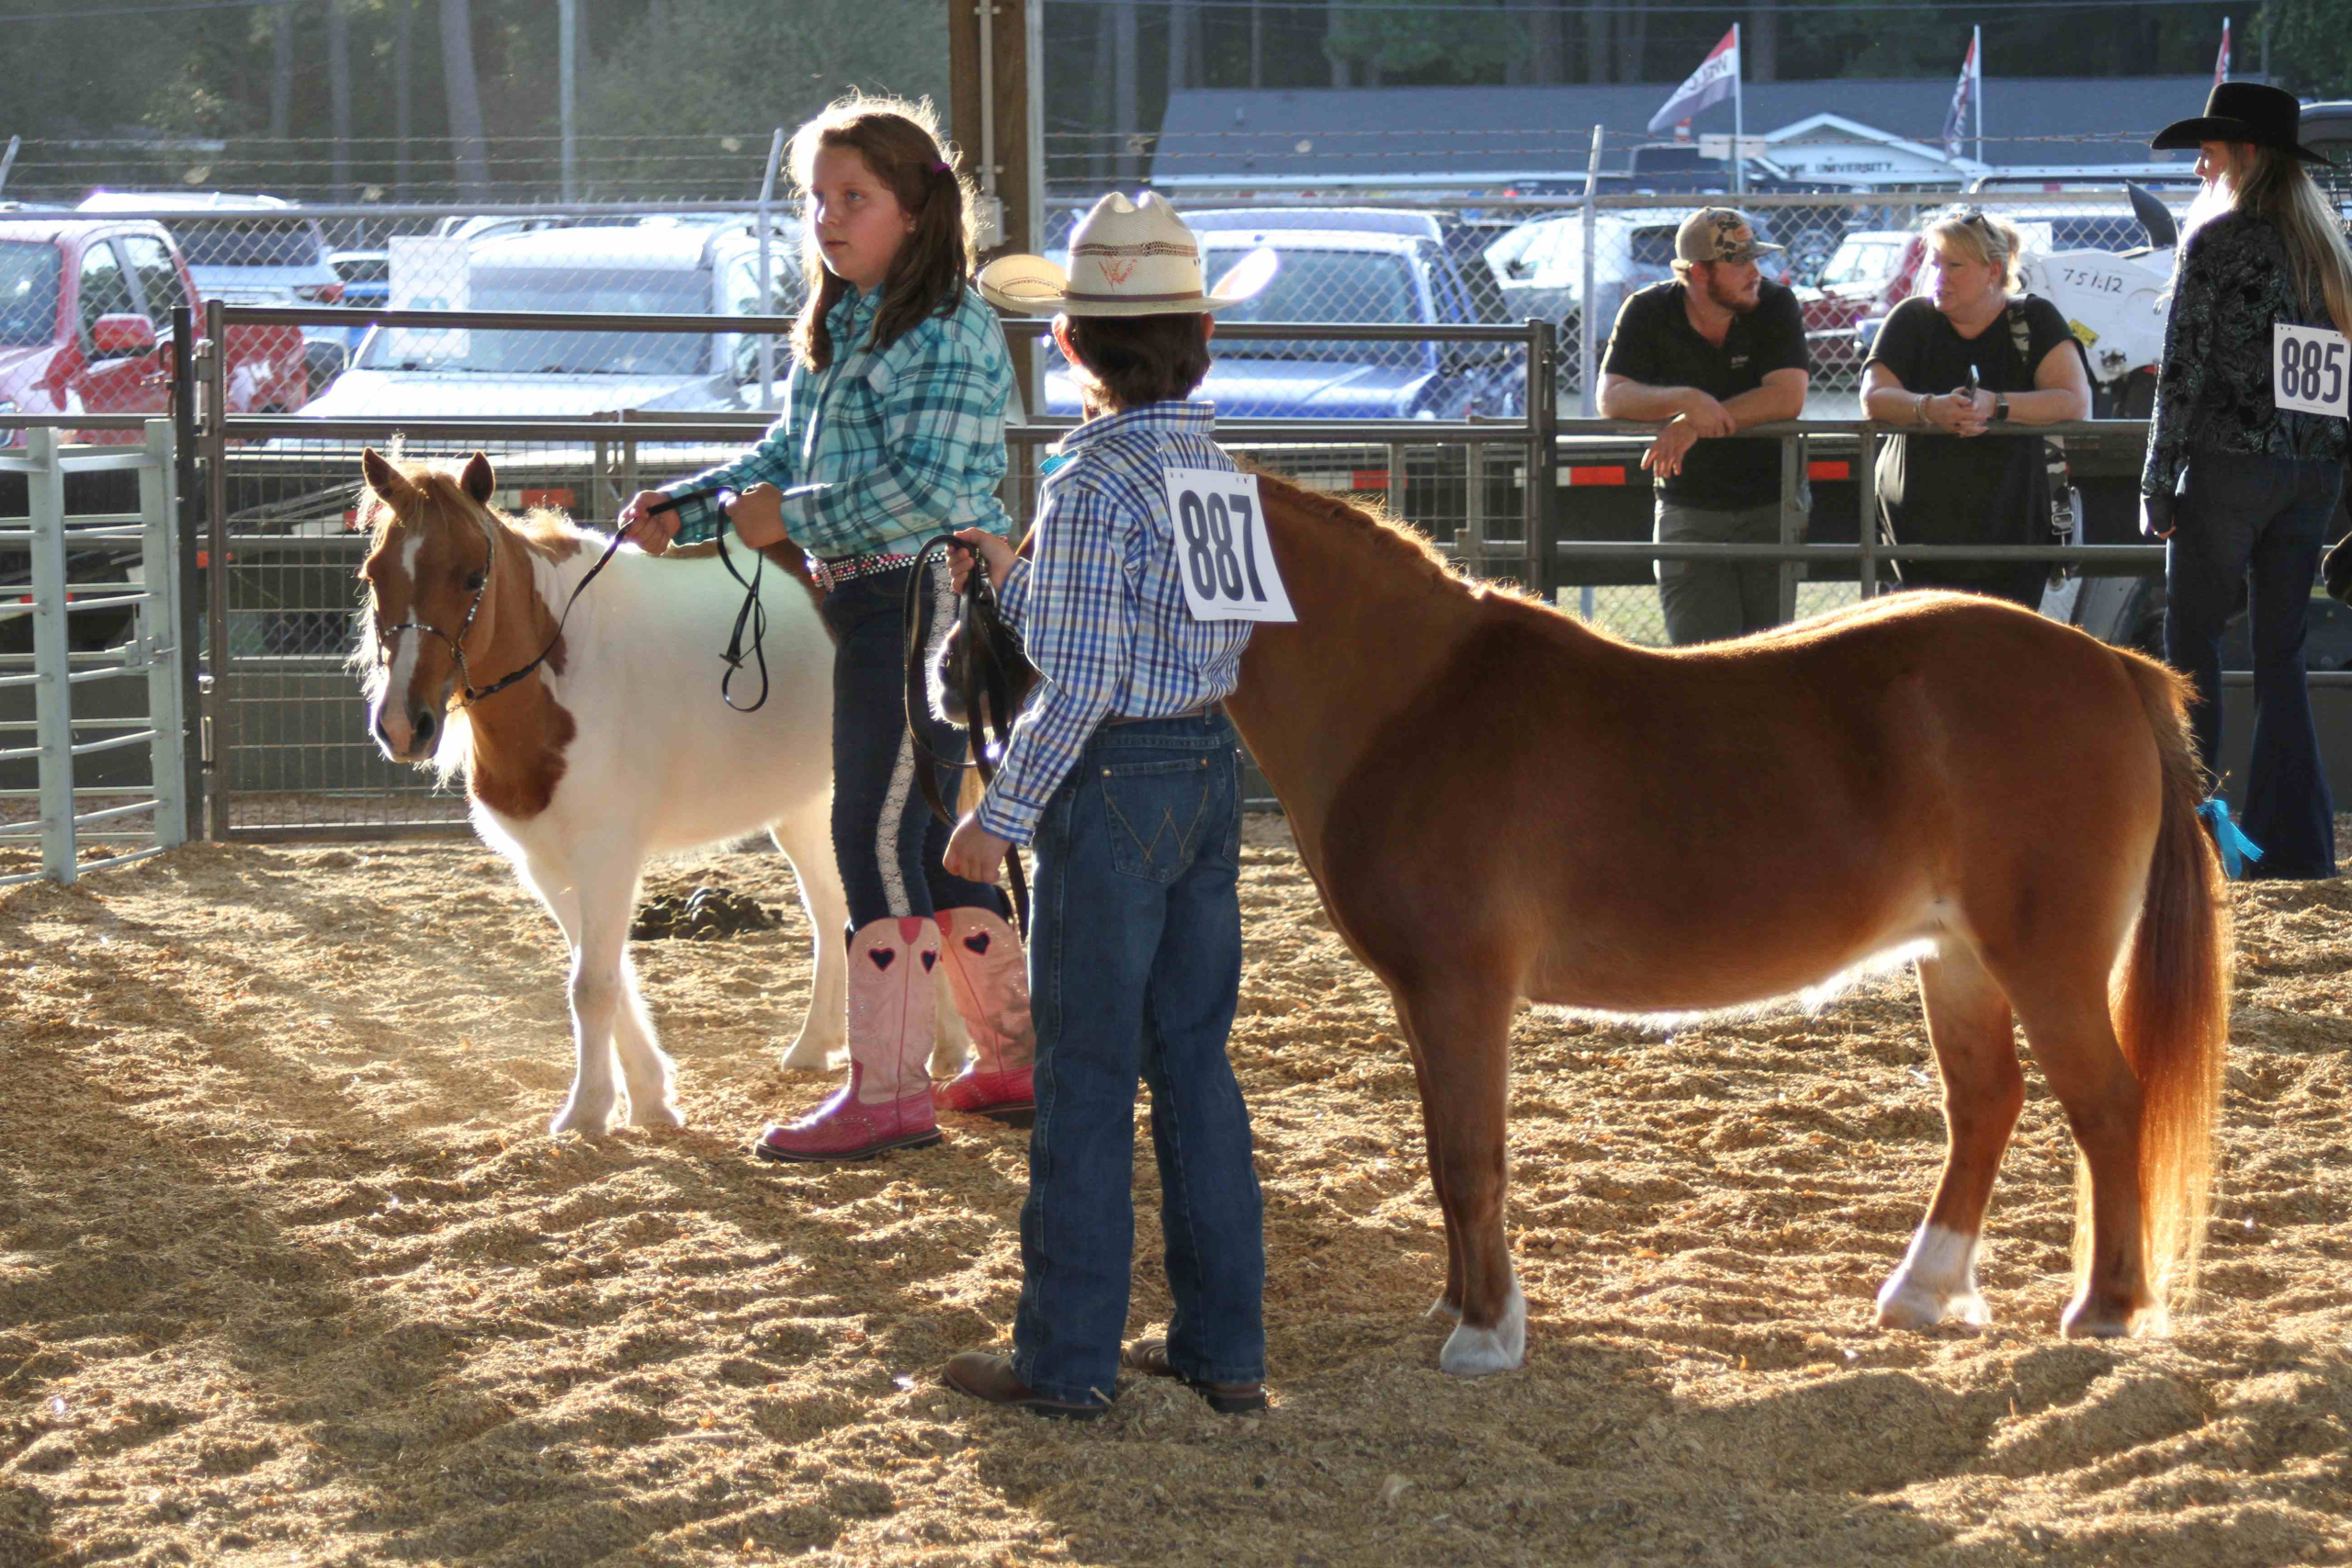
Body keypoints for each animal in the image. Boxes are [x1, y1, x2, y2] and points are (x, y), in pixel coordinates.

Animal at [1223, 474, 2229, 1372]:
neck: (1413, 700)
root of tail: (2112, 666)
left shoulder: (1459, 989)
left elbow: (1473, 1159)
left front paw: (1485, 1333)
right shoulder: (1416, 998)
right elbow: (1441, 1153)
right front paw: (1454, 1303)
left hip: (2045, 960)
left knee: (2108, 1104)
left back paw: (2104, 1308)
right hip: (1958, 958)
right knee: (1987, 1103)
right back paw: (1922, 1290)